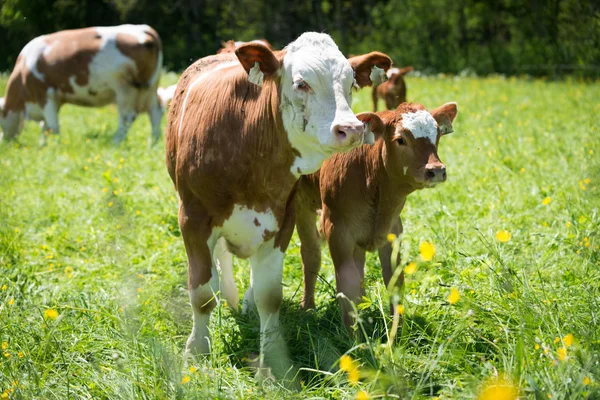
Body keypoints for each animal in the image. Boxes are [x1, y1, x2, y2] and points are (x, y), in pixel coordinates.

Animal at [0, 24, 164, 144]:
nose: (4, 142)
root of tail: (145, 31)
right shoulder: (54, 100)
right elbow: (45, 127)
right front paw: (43, 145)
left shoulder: (45, 95)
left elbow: (53, 126)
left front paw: (55, 146)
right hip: (149, 89)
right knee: (155, 112)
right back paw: (153, 142)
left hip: (124, 89)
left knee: (126, 117)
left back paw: (115, 142)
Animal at [164, 32, 392, 380]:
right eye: (301, 83)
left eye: (351, 83)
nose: (351, 129)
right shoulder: (193, 218)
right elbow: (202, 294)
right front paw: (197, 352)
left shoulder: (282, 221)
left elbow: (269, 296)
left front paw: (270, 362)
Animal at [296, 101, 460, 326]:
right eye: (400, 139)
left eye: (437, 134)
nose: (436, 170)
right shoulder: (336, 230)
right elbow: (346, 285)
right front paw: (353, 334)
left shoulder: (392, 228)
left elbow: (394, 280)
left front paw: (397, 330)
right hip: (301, 206)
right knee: (311, 254)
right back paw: (308, 307)